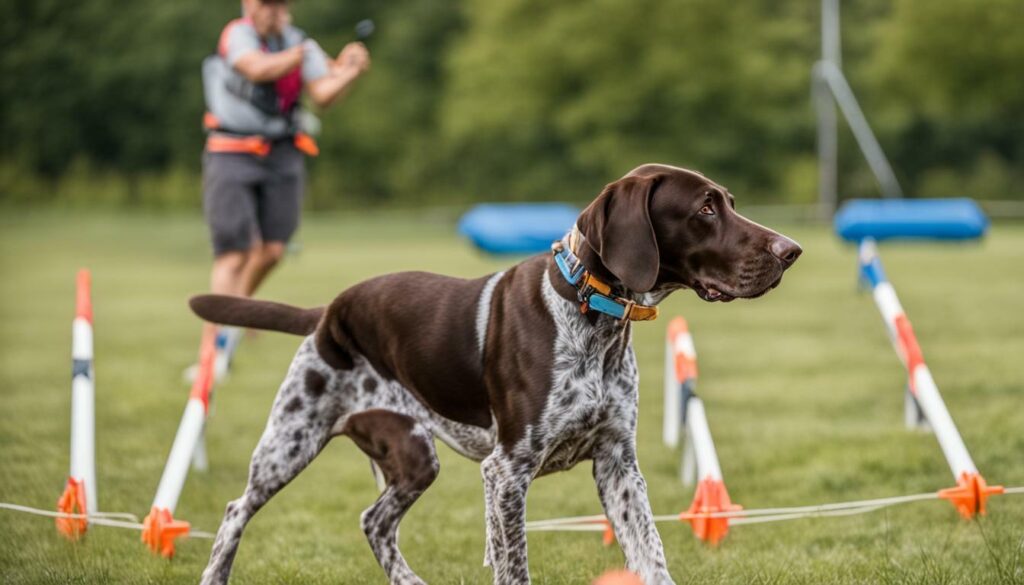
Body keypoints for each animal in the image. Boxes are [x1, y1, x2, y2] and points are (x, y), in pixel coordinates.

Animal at [192, 164, 798, 585]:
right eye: (705, 209)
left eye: (729, 203)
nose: (791, 250)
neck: (593, 317)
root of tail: (327, 313)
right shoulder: (506, 472)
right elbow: (515, 567)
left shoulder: (617, 464)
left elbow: (650, 555)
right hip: (291, 440)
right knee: (235, 511)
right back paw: (214, 574)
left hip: (414, 455)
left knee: (374, 521)